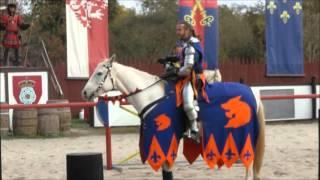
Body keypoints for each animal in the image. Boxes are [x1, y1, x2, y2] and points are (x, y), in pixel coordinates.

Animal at [82, 56, 264, 180]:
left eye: (99, 73)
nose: (84, 92)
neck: (151, 95)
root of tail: (252, 94)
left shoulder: (165, 139)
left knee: (249, 165)